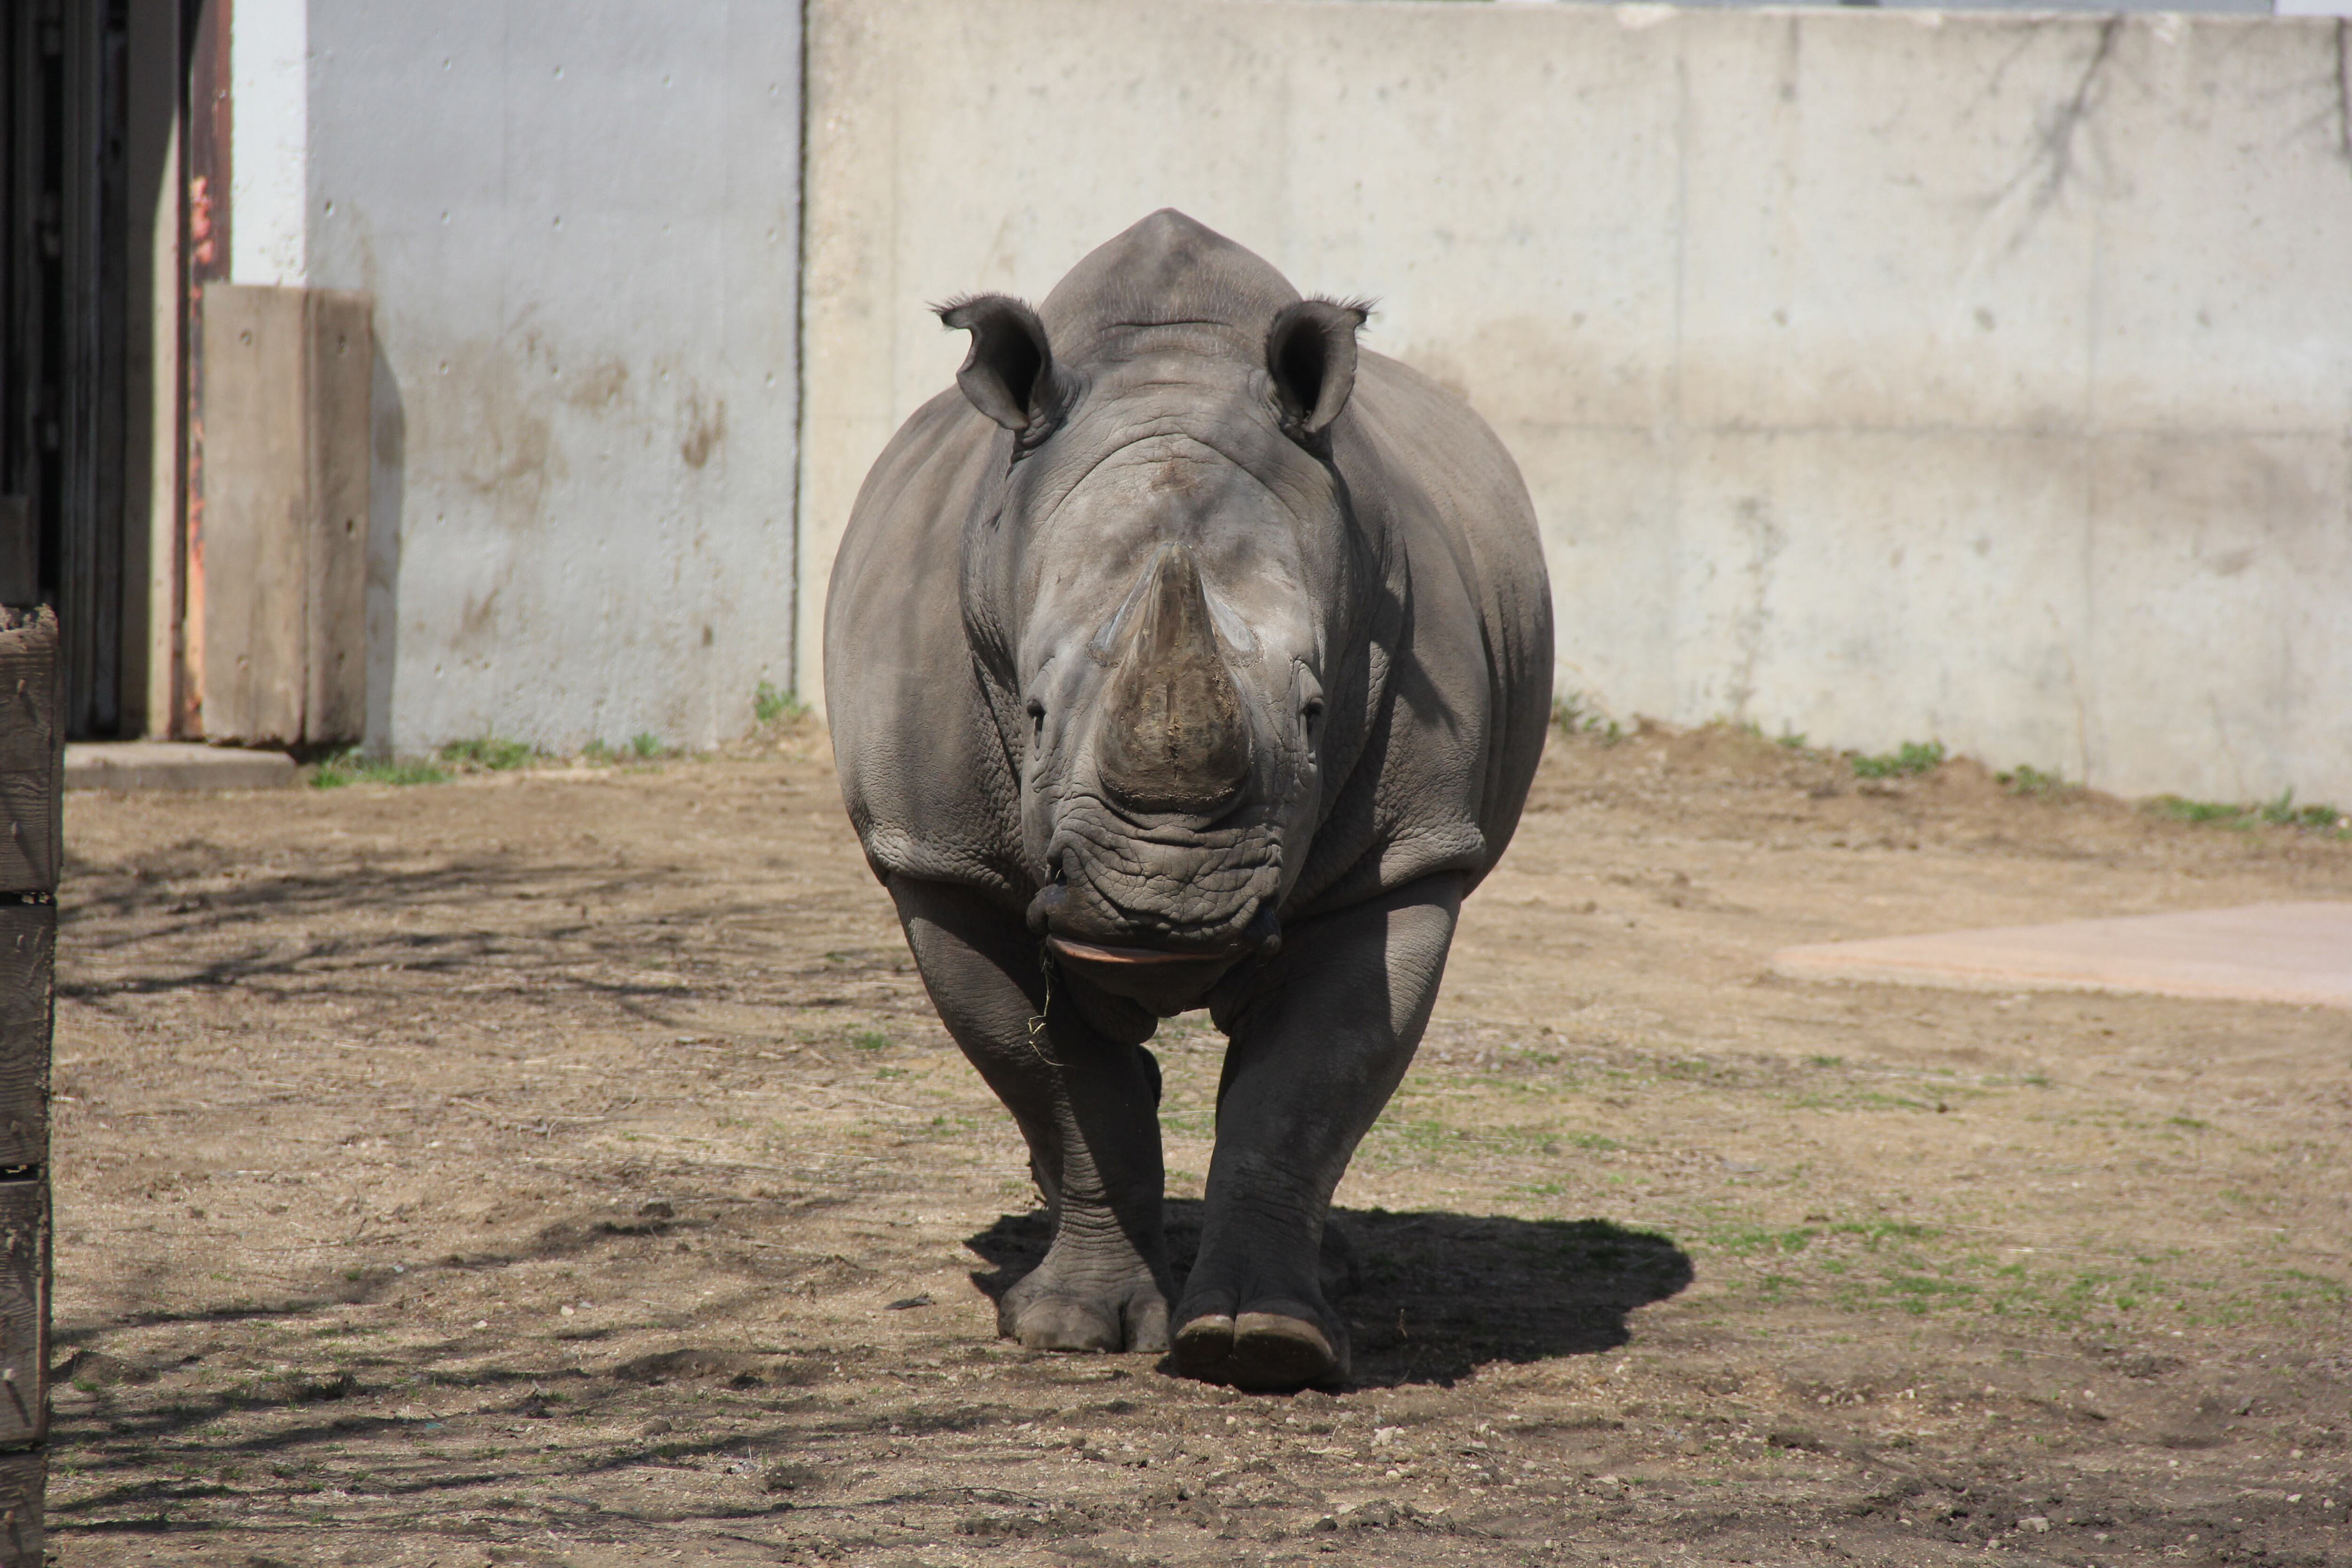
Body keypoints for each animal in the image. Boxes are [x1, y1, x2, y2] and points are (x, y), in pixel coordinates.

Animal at [825, 210, 1551, 1390]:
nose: (1163, 907)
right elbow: (1061, 1082)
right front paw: (1070, 1328)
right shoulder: (940, 864)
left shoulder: (1405, 857)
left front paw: (1261, 1344)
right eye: (1031, 710)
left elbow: (1305, 1090)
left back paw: (1329, 1272)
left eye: (1314, 710)